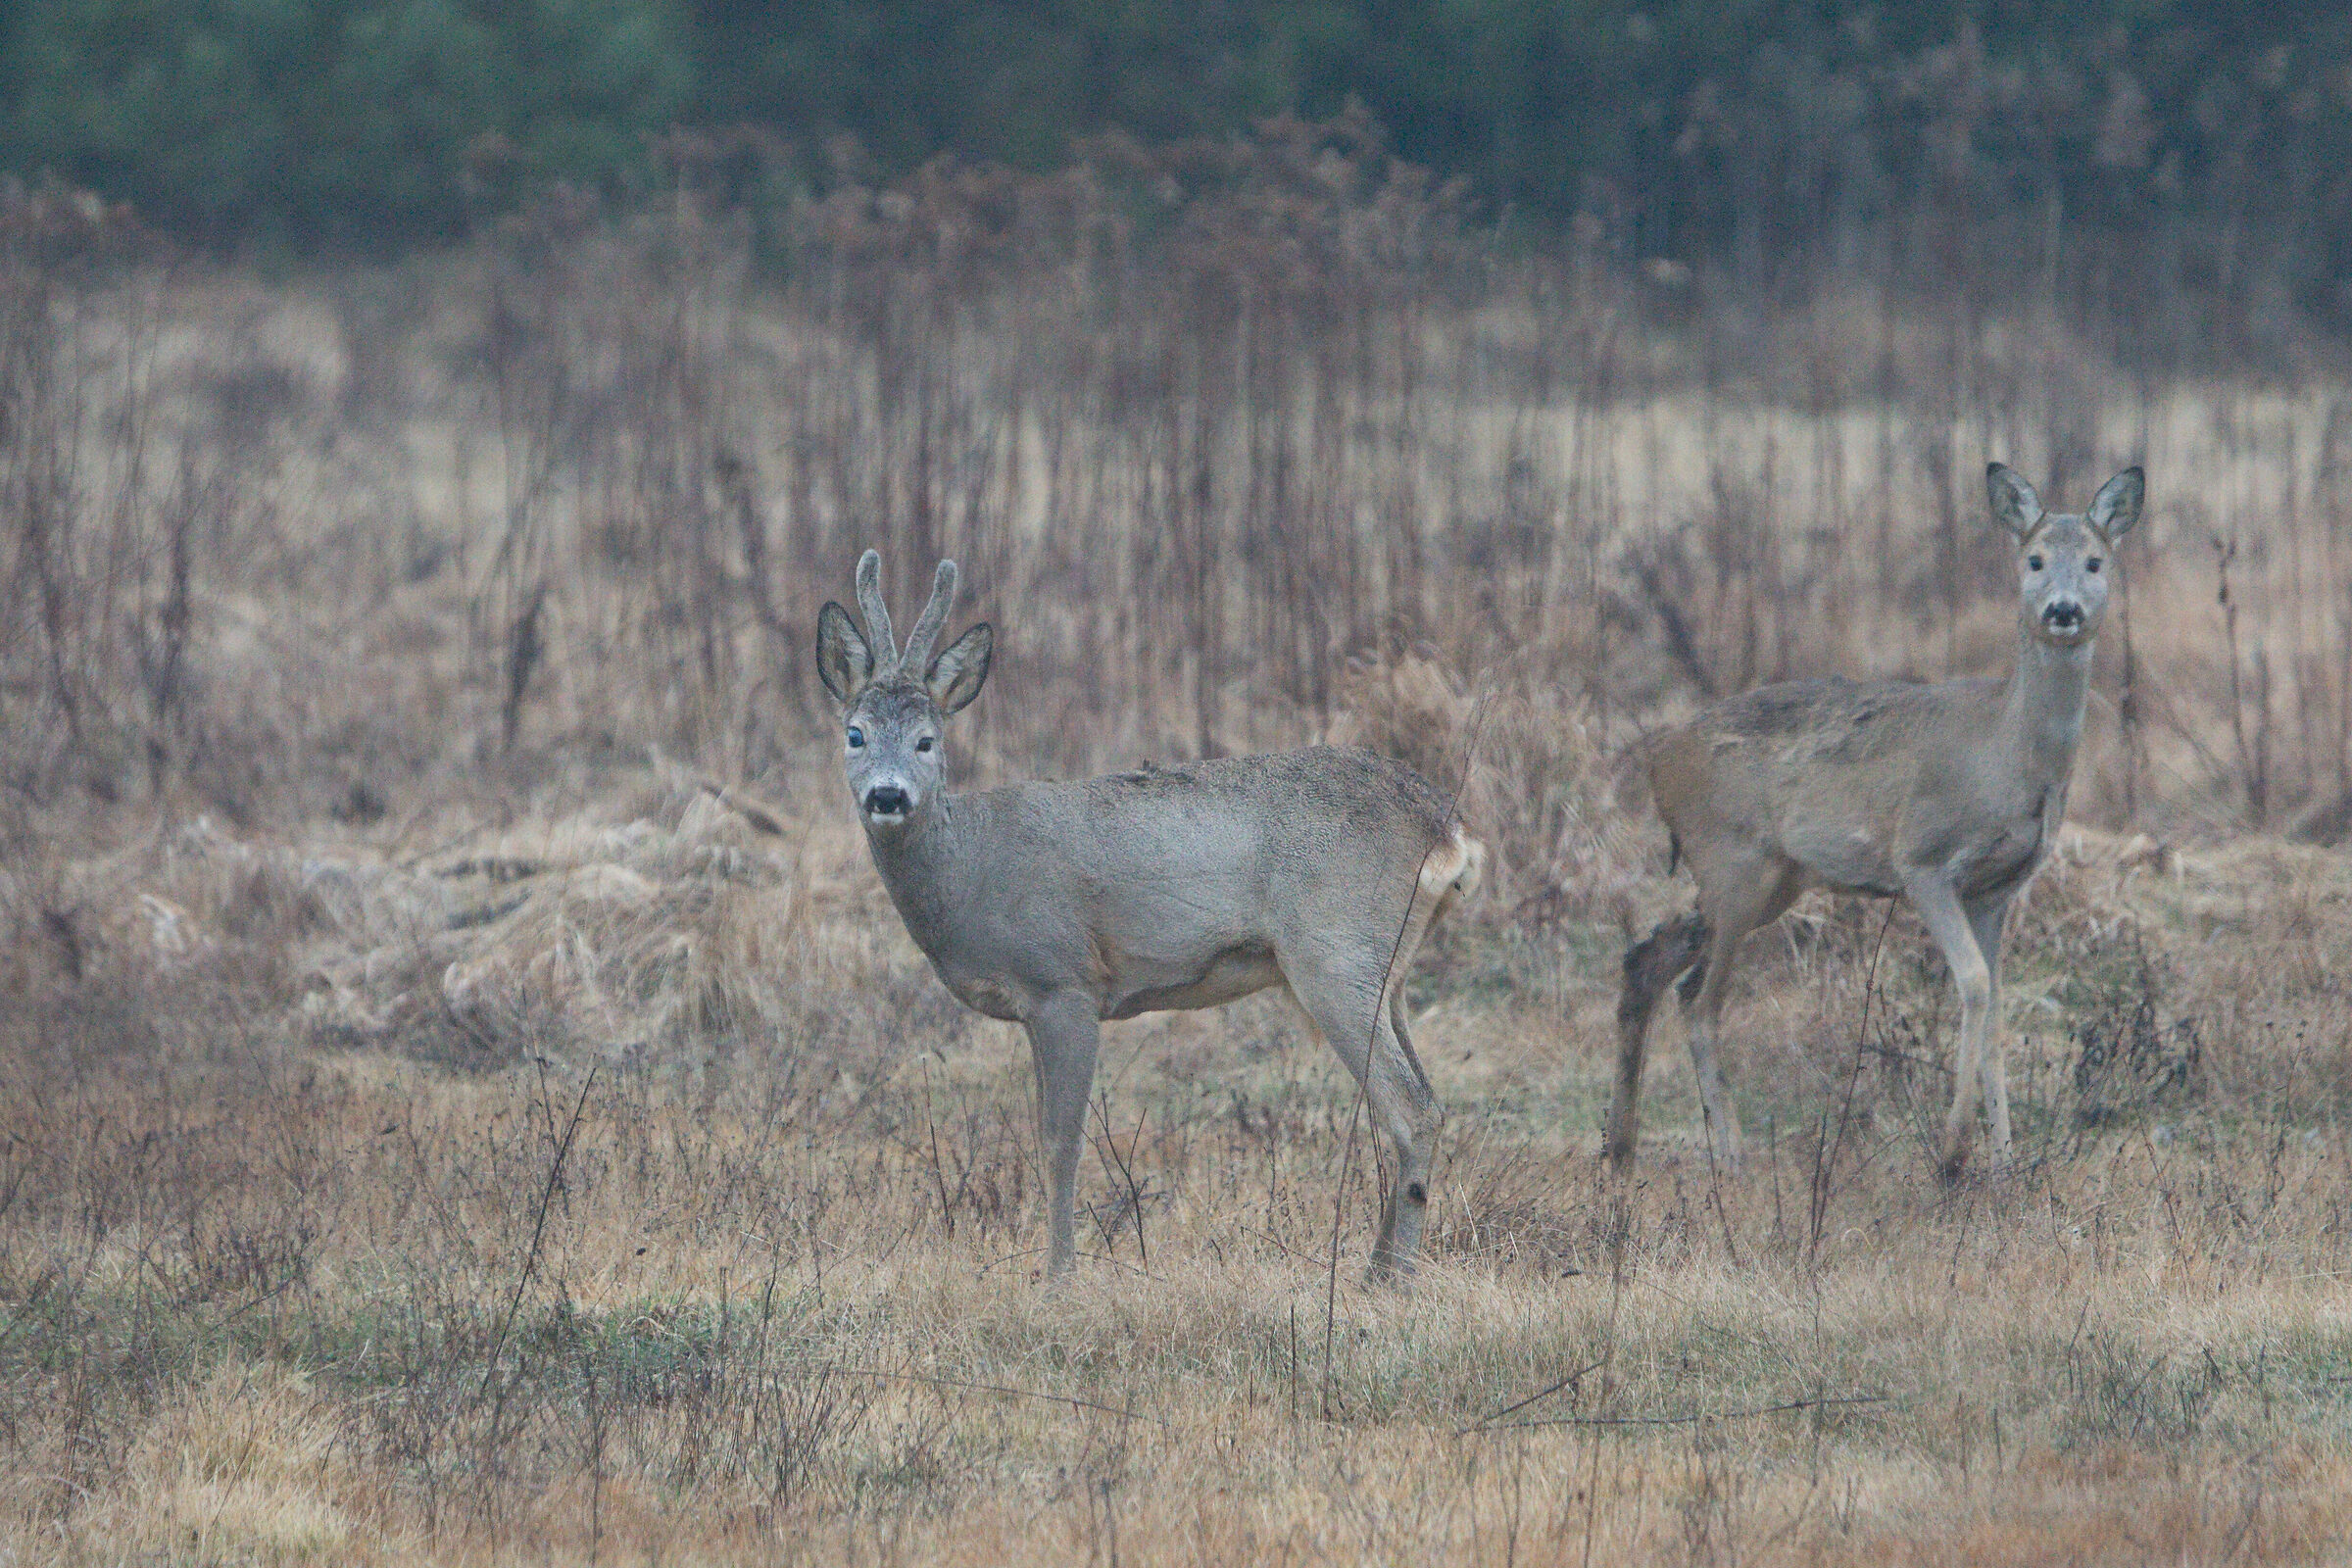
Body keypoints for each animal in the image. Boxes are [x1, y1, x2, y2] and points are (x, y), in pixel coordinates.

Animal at [814, 551, 1483, 1282]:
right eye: (855, 734)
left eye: (927, 741)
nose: (887, 795)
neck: (971, 872)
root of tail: (1444, 830)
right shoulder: (1034, 1004)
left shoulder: (1065, 983)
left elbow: (1060, 1142)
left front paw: (1058, 1277)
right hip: (1386, 968)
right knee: (1416, 1101)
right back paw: (1374, 1268)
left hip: (1334, 952)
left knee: (1411, 1107)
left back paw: (1394, 1277)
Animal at [1605, 462, 2145, 1181]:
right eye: (2032, 559)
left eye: (2094, 561)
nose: (2063, 610)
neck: (2007, 755)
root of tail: (1657, 762)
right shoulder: (1923, 859)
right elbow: (1974, 986)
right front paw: (1953, 1154)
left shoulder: (1998, 889)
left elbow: (1998, 1012)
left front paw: (2006, 1164)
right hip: (1733, 862)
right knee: (1697, 999)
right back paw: (1733, 1159)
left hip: (1770, 879)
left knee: (1647, 959)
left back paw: (1620, 1148)